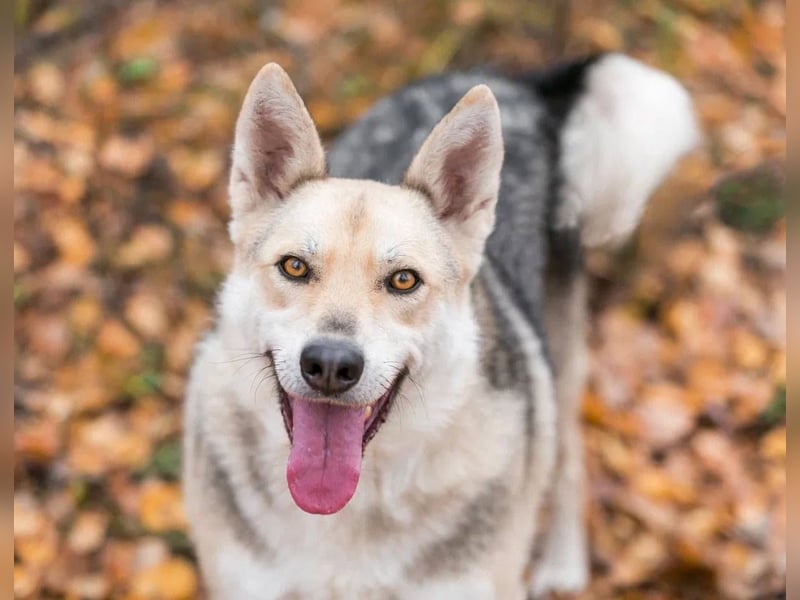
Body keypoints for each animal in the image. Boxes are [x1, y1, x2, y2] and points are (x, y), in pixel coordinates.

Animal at [183, 53, 699, 599]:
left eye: (404, 280)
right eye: (295, 267)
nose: (330, 365)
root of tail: (523, 85)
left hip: (560, 369)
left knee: (568, 464)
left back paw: (563, 565)